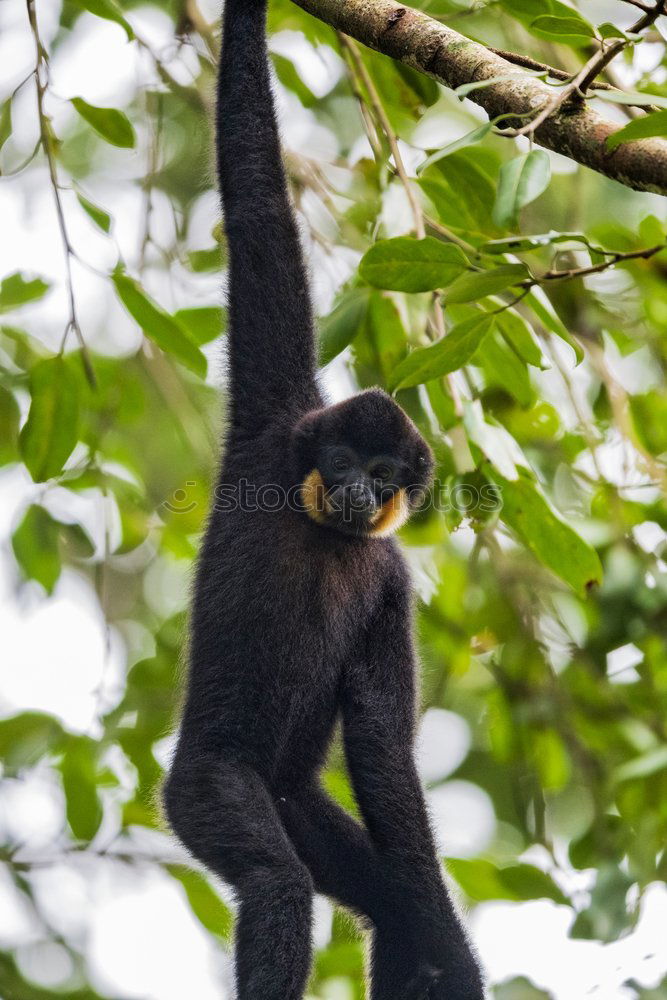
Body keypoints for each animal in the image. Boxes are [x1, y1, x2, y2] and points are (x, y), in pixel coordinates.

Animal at [162, 1, 486, 1000]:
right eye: (342, 457)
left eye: (383, 476)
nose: (350, 488)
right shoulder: (273, 429)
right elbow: (258, 206)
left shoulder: (390, 579)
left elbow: (383, 752)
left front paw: (449, 950)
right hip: (207, 788)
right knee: (275, 879)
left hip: (298, 801)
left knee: (382, 894)